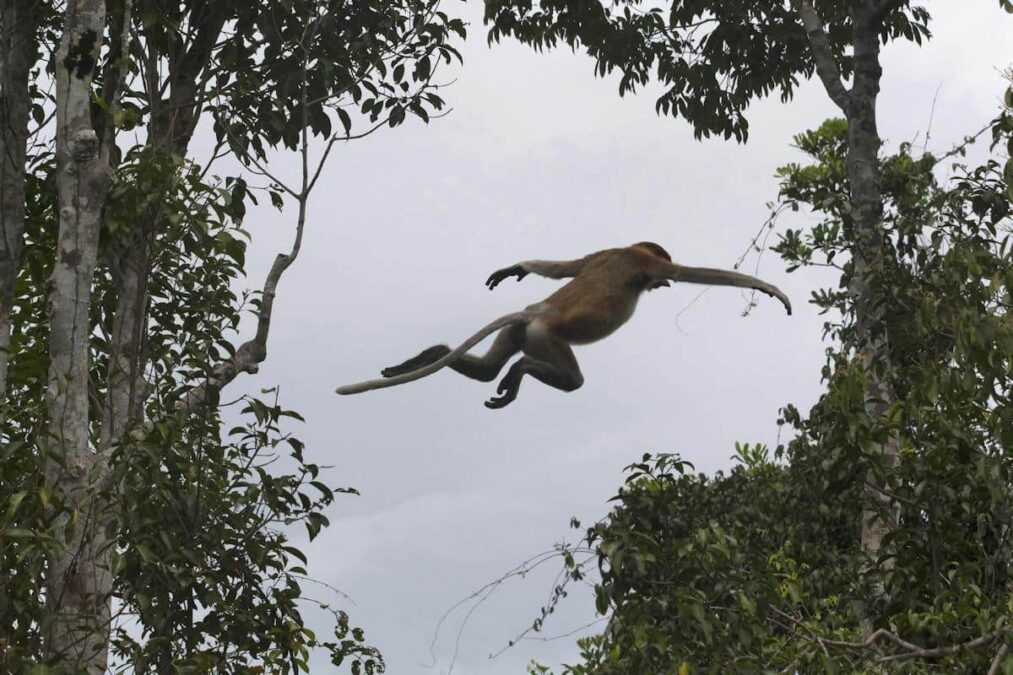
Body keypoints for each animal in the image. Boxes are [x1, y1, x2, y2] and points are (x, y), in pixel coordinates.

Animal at [336, 242, 791, 408]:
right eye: (655, 278)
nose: (658, 288)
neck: (631, 251)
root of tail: (534, 313)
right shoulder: (645, 262)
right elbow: (691, 273)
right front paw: (769, 289)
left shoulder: (605, 251)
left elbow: (567, 267)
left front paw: (514, 269)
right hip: (544, 337)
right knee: (570, 379)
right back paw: (517, 376)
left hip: (517, 332)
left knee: (485, 371)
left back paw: (433, 356)